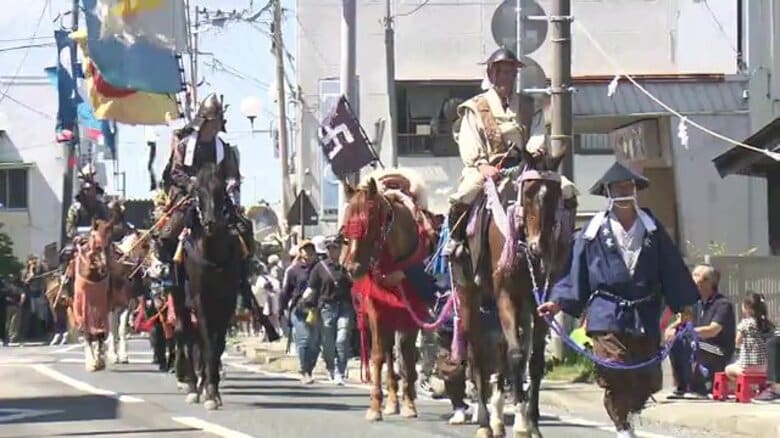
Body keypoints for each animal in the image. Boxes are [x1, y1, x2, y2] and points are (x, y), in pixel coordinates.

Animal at [175, 162, 242, 410]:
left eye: (221, 190)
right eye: (197, 192)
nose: (212, 223)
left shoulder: (227, 301)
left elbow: (217, 344)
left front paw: (212, 389)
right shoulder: (199, 300)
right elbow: (206, 343)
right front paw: (208, 391)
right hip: (179, 301)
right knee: (187, 337)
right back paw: (192, 386)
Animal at [342, 175, 438, 424]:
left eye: (369, 222)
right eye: (346, 223)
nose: (352, 268)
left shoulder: (413, 312)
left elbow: (407, 356)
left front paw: (409, 403)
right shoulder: (377, 309)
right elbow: (378, 357)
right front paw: (375, 406)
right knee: (387, 353)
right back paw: (392, 400)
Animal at [454, 149, 576, 436]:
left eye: (556, 195)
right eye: (528, 193)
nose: (538, 248)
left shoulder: (539, 300)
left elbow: (535, 360)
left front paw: (531, 422)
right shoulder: (505, 293)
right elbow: (517, 354)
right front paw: (521, 421)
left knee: (501, 348)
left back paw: (498, 417)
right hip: (469, 294)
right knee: (477, 353)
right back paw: (485, 421)